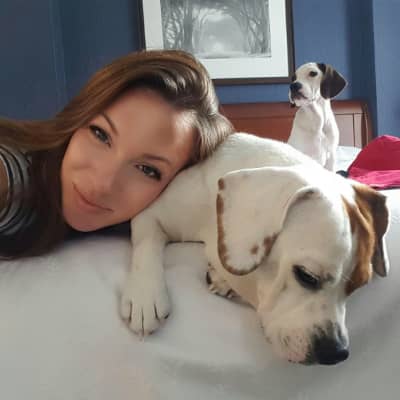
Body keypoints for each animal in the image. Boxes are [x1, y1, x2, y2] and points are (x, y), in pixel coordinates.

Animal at [120, 133, 389, 365]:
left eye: (356, 288)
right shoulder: (150, 215)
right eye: (306, 276)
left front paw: (222, 279)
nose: (336, 352)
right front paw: (145, 295)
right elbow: (146, 246)